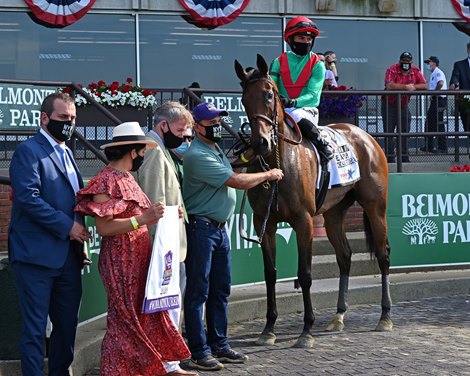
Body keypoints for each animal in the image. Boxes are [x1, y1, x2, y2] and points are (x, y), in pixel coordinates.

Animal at [235, 54, 392, 348]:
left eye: (269, 95)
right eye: (243, 99)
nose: (260, 142)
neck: (281, 161)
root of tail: (365, 136)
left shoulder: (304, 222)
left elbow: (305, 275)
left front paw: (306, 331)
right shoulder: (265, 223)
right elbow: (270, 274)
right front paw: (268, 329)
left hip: (375, 207)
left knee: (384, 254)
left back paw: (385, 317)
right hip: (333, 214)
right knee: (344, 256)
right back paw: (338, 316)